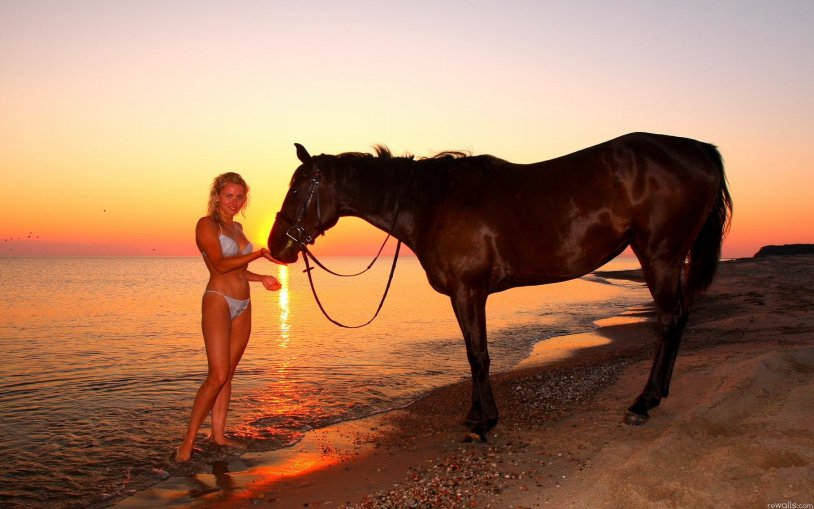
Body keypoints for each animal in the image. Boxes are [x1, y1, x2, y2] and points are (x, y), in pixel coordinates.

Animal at [268, 132, 733, 441]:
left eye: (297, 189)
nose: (276, 246)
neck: (432, 202)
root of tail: (699, 149)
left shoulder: (468, 292)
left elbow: (478, 356)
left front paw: (484, 422)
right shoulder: (467, 296)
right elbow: (472, 355)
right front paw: (476, 414)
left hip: (660, 256)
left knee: (670, 320)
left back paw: (643, 402)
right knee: (677, 320)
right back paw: (657, 395)